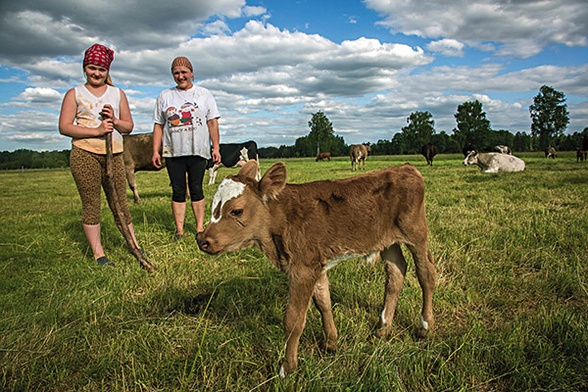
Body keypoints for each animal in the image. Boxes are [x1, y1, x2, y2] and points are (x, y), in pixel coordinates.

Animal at [198, 161, 436, 378]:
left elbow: (293, 319)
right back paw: (384, 328)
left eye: (236, 211)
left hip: (416, 231)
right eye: (213, 207)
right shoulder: (315, 265)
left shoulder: (302, 269)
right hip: (387, 240)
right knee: (396, 273)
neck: (282, 218)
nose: (203, 240)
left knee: (426, 274)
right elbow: (323, 302)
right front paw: (331, 342)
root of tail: (405, 167)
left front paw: (287, 368)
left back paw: (425, 326)